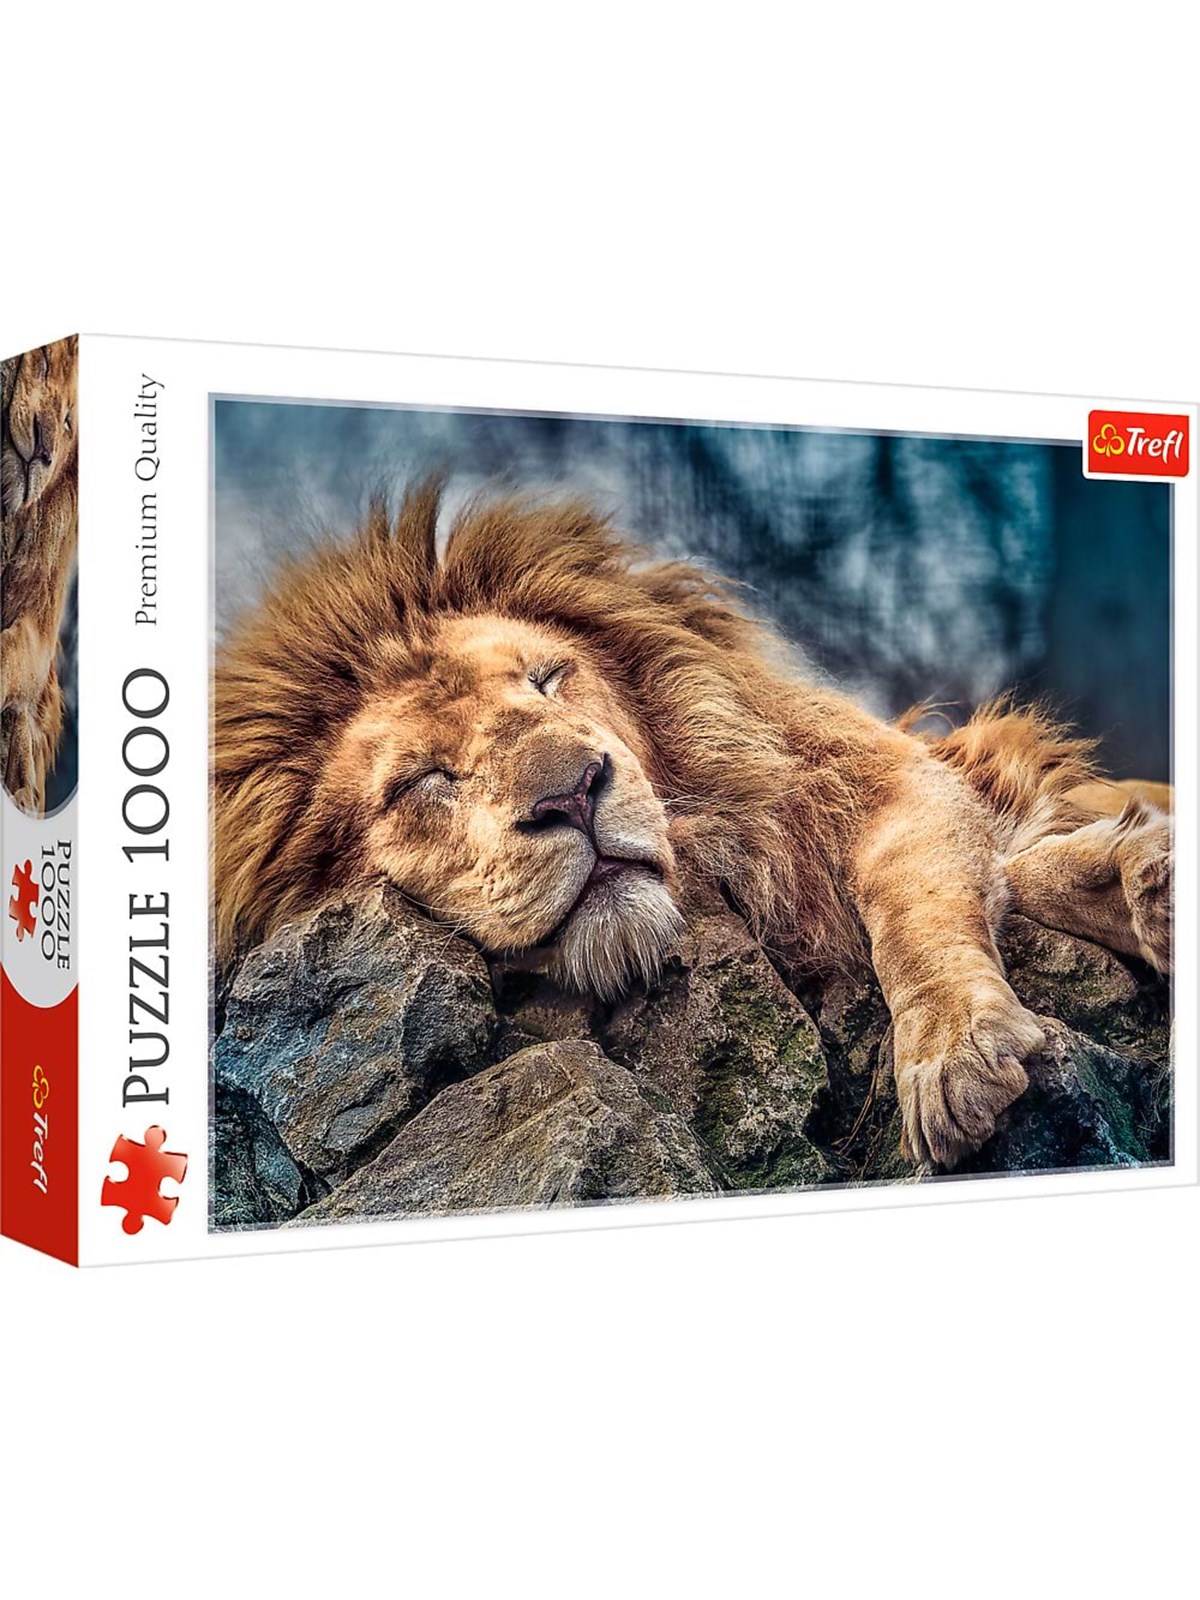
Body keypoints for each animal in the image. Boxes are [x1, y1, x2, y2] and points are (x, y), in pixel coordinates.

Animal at [213, 481, 1173, 1170]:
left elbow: (916, 907)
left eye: (549, 679)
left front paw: (957, 1049)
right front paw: (1134, 880)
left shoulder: (884, 778)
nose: (573, 793)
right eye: (424, 780)